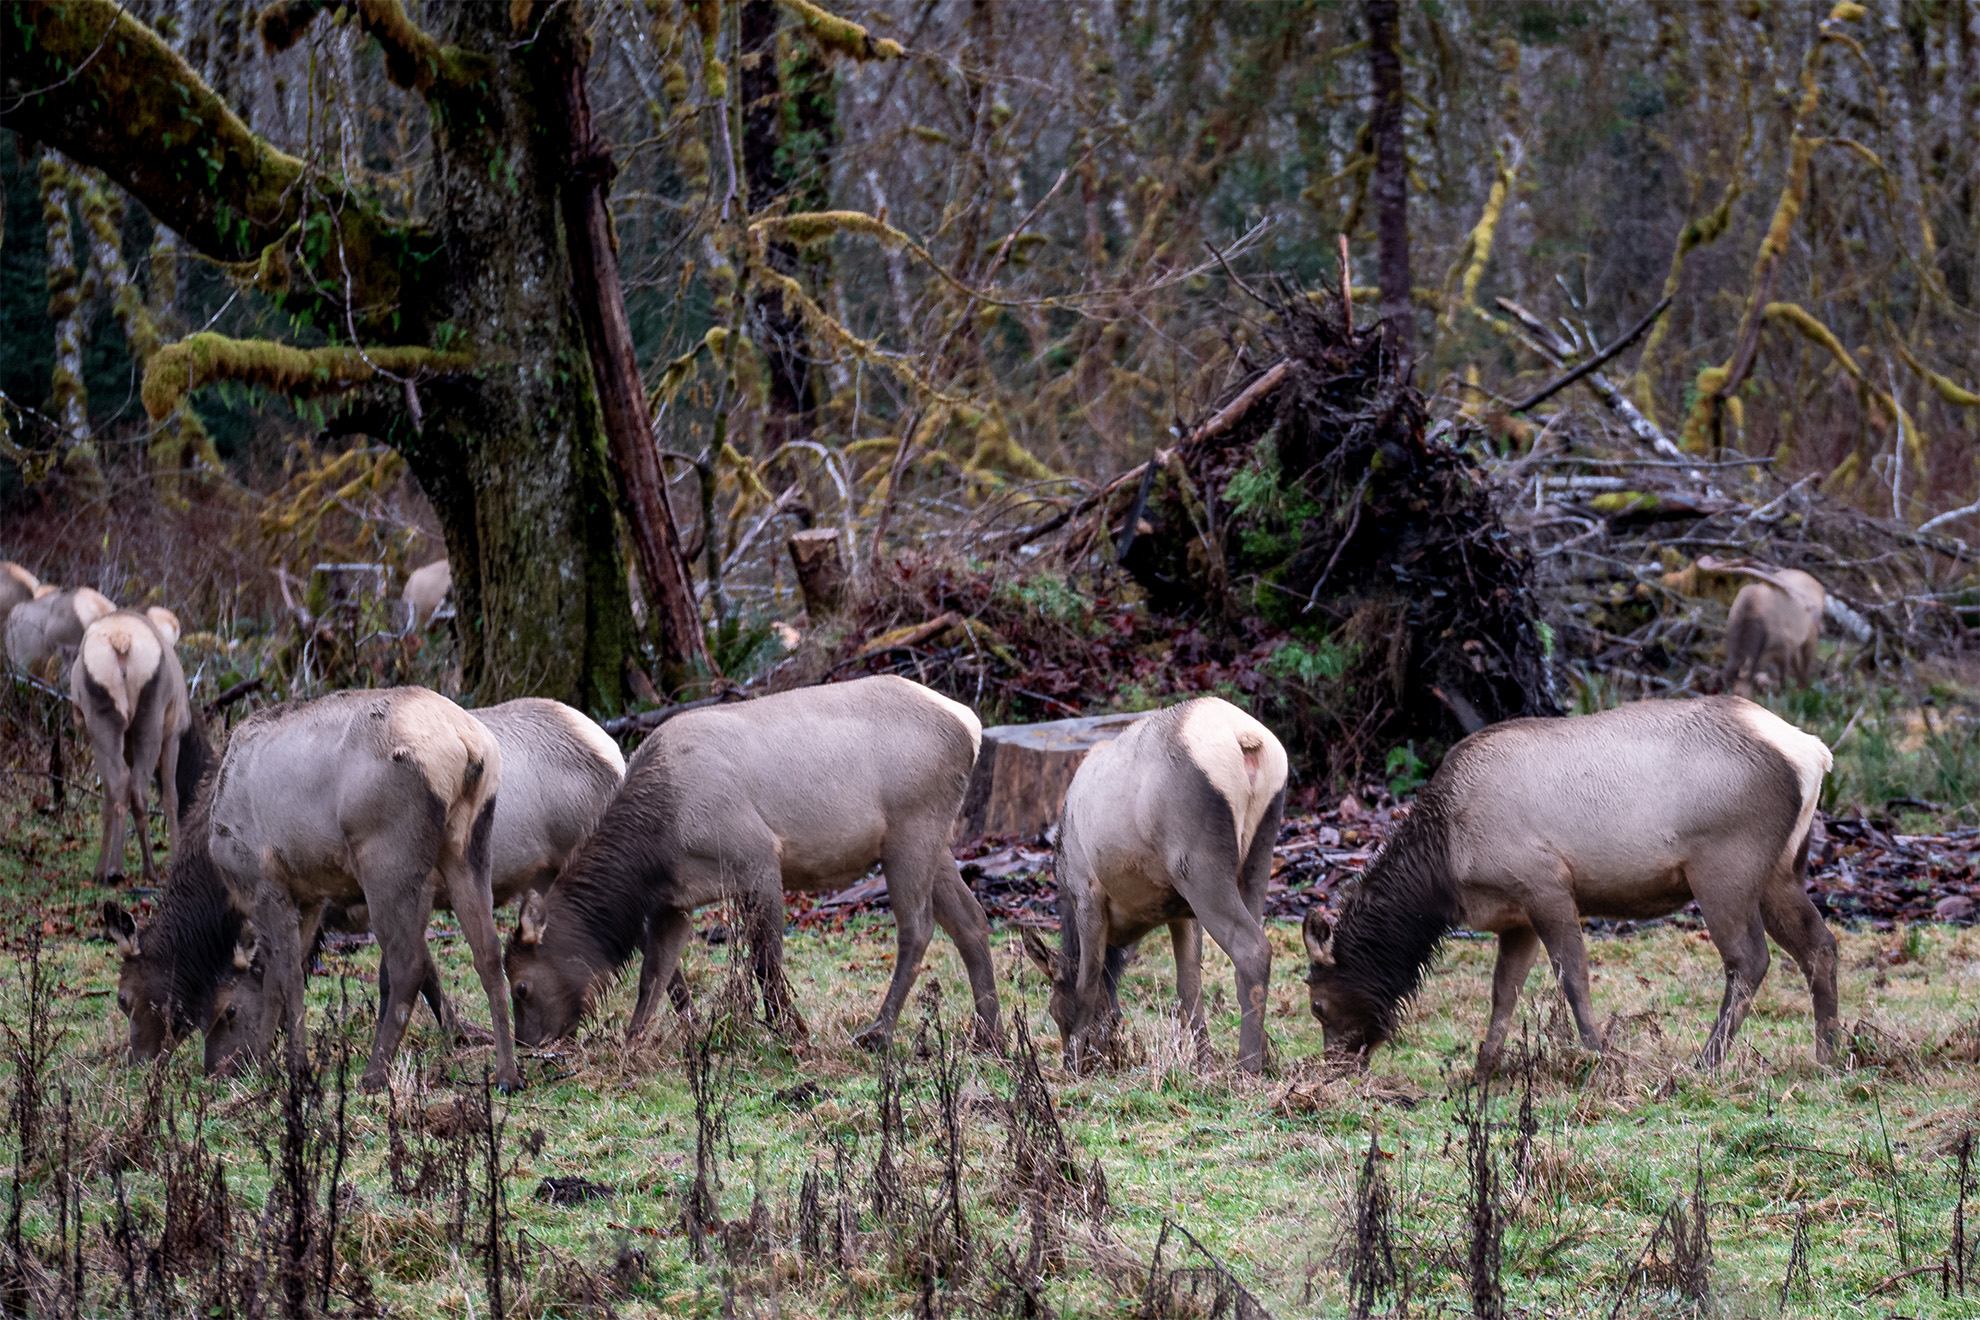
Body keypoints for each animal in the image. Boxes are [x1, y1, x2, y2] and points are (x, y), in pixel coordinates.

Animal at [1020, 697, 1288, 1073]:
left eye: (1054, 1010)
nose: (1089, 1060)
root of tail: (1245, 740)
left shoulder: (1087, 894)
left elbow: (1088, 982)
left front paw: (1073, 1062)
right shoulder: (1180, 911)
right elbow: (1189, 988)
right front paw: (1204, 1066)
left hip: (1197, 865)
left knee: (1252, 949)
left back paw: (1247, 1066)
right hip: (1259, 850)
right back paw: (1263, 1054)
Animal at [1300, 696, 1838, 1076]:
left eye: (1317, 1005)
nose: (1335, 1068)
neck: (1445, 871)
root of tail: (1815, 753)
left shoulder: (1546, 883)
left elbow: (1573, 978)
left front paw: (1599, 1056)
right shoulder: (1514, 917)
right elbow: (1504, 992)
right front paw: (1482, 1069)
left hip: (1725, 866)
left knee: (1750, 959)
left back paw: (1705, 1063)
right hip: (1782, 869)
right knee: (1820, 945)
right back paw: (1830, 1055)